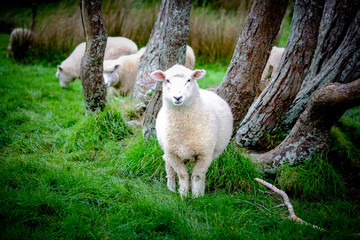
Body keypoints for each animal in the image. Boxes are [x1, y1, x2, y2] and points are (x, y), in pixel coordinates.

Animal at [151, 63, 233, 197]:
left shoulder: (205, 154)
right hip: (167, 149)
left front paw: (197, 196)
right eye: (167, 80)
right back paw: (171, 188)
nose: (177, 97)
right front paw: (184, 195)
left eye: (189, 80)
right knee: (168, 166)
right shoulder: (172, 153)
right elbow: (182, 175)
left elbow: (198, 175)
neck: (183, 130)